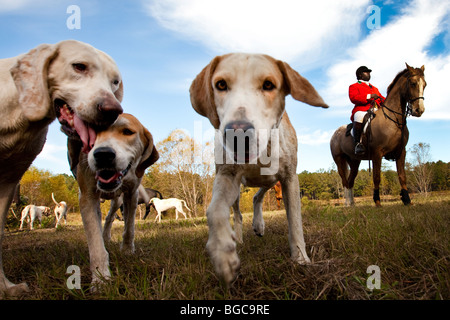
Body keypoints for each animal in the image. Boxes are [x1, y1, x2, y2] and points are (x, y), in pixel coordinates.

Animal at [69, 112, 159, 288]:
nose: (103, 154)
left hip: (118, 201)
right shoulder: (87, 197)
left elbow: (129, 228)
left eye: (127, 132)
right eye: (92, 132)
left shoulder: (131, 194)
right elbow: (96, 244)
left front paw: (127, 250)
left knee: (110, 217)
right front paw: (100, 279)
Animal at [188, 53, 328, 284]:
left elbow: (295, 221)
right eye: (221, 84)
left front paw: (300, 258)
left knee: (258, 196)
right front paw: (223, 252)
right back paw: (239, 237)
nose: (238, 133)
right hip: (239, 191)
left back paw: (259, 224)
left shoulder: (289, 177)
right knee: (237, 213)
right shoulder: (227, 175)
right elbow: (215, 210)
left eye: (268, 84)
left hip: (272, 180)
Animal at [330, 63, 426, 206]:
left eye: (425, 84)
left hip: (354, 161)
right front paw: (377, 202)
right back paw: (347, 204)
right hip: (339, 160)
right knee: (345, 181)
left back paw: (352, 204)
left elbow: (402, 177)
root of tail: (335, 134)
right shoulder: (377, 153)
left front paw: (407, 200)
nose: (419, 110)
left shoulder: (401, 152)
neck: (393, 120)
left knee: (351, 181)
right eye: (413, 83)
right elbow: (376, 177)